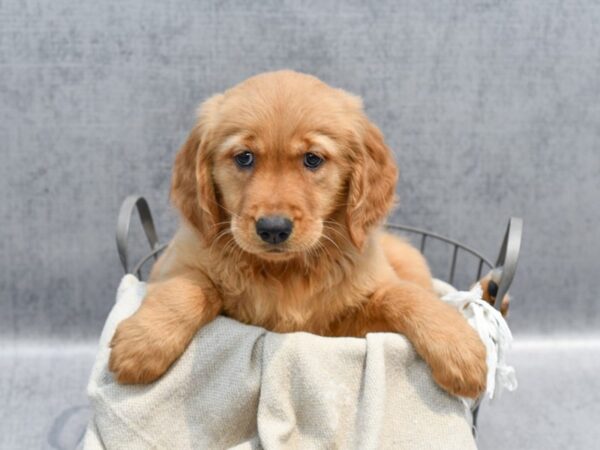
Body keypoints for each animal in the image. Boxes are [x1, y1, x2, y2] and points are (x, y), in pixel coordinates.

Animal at [109, 69, 488, 398]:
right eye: (244, 157)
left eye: (312, 159)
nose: (273, 229)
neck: (285, 272)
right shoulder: (175, 262)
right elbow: (186, 287)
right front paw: (142, 344)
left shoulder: (345, 326)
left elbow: (403, 295)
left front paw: (460, 346)